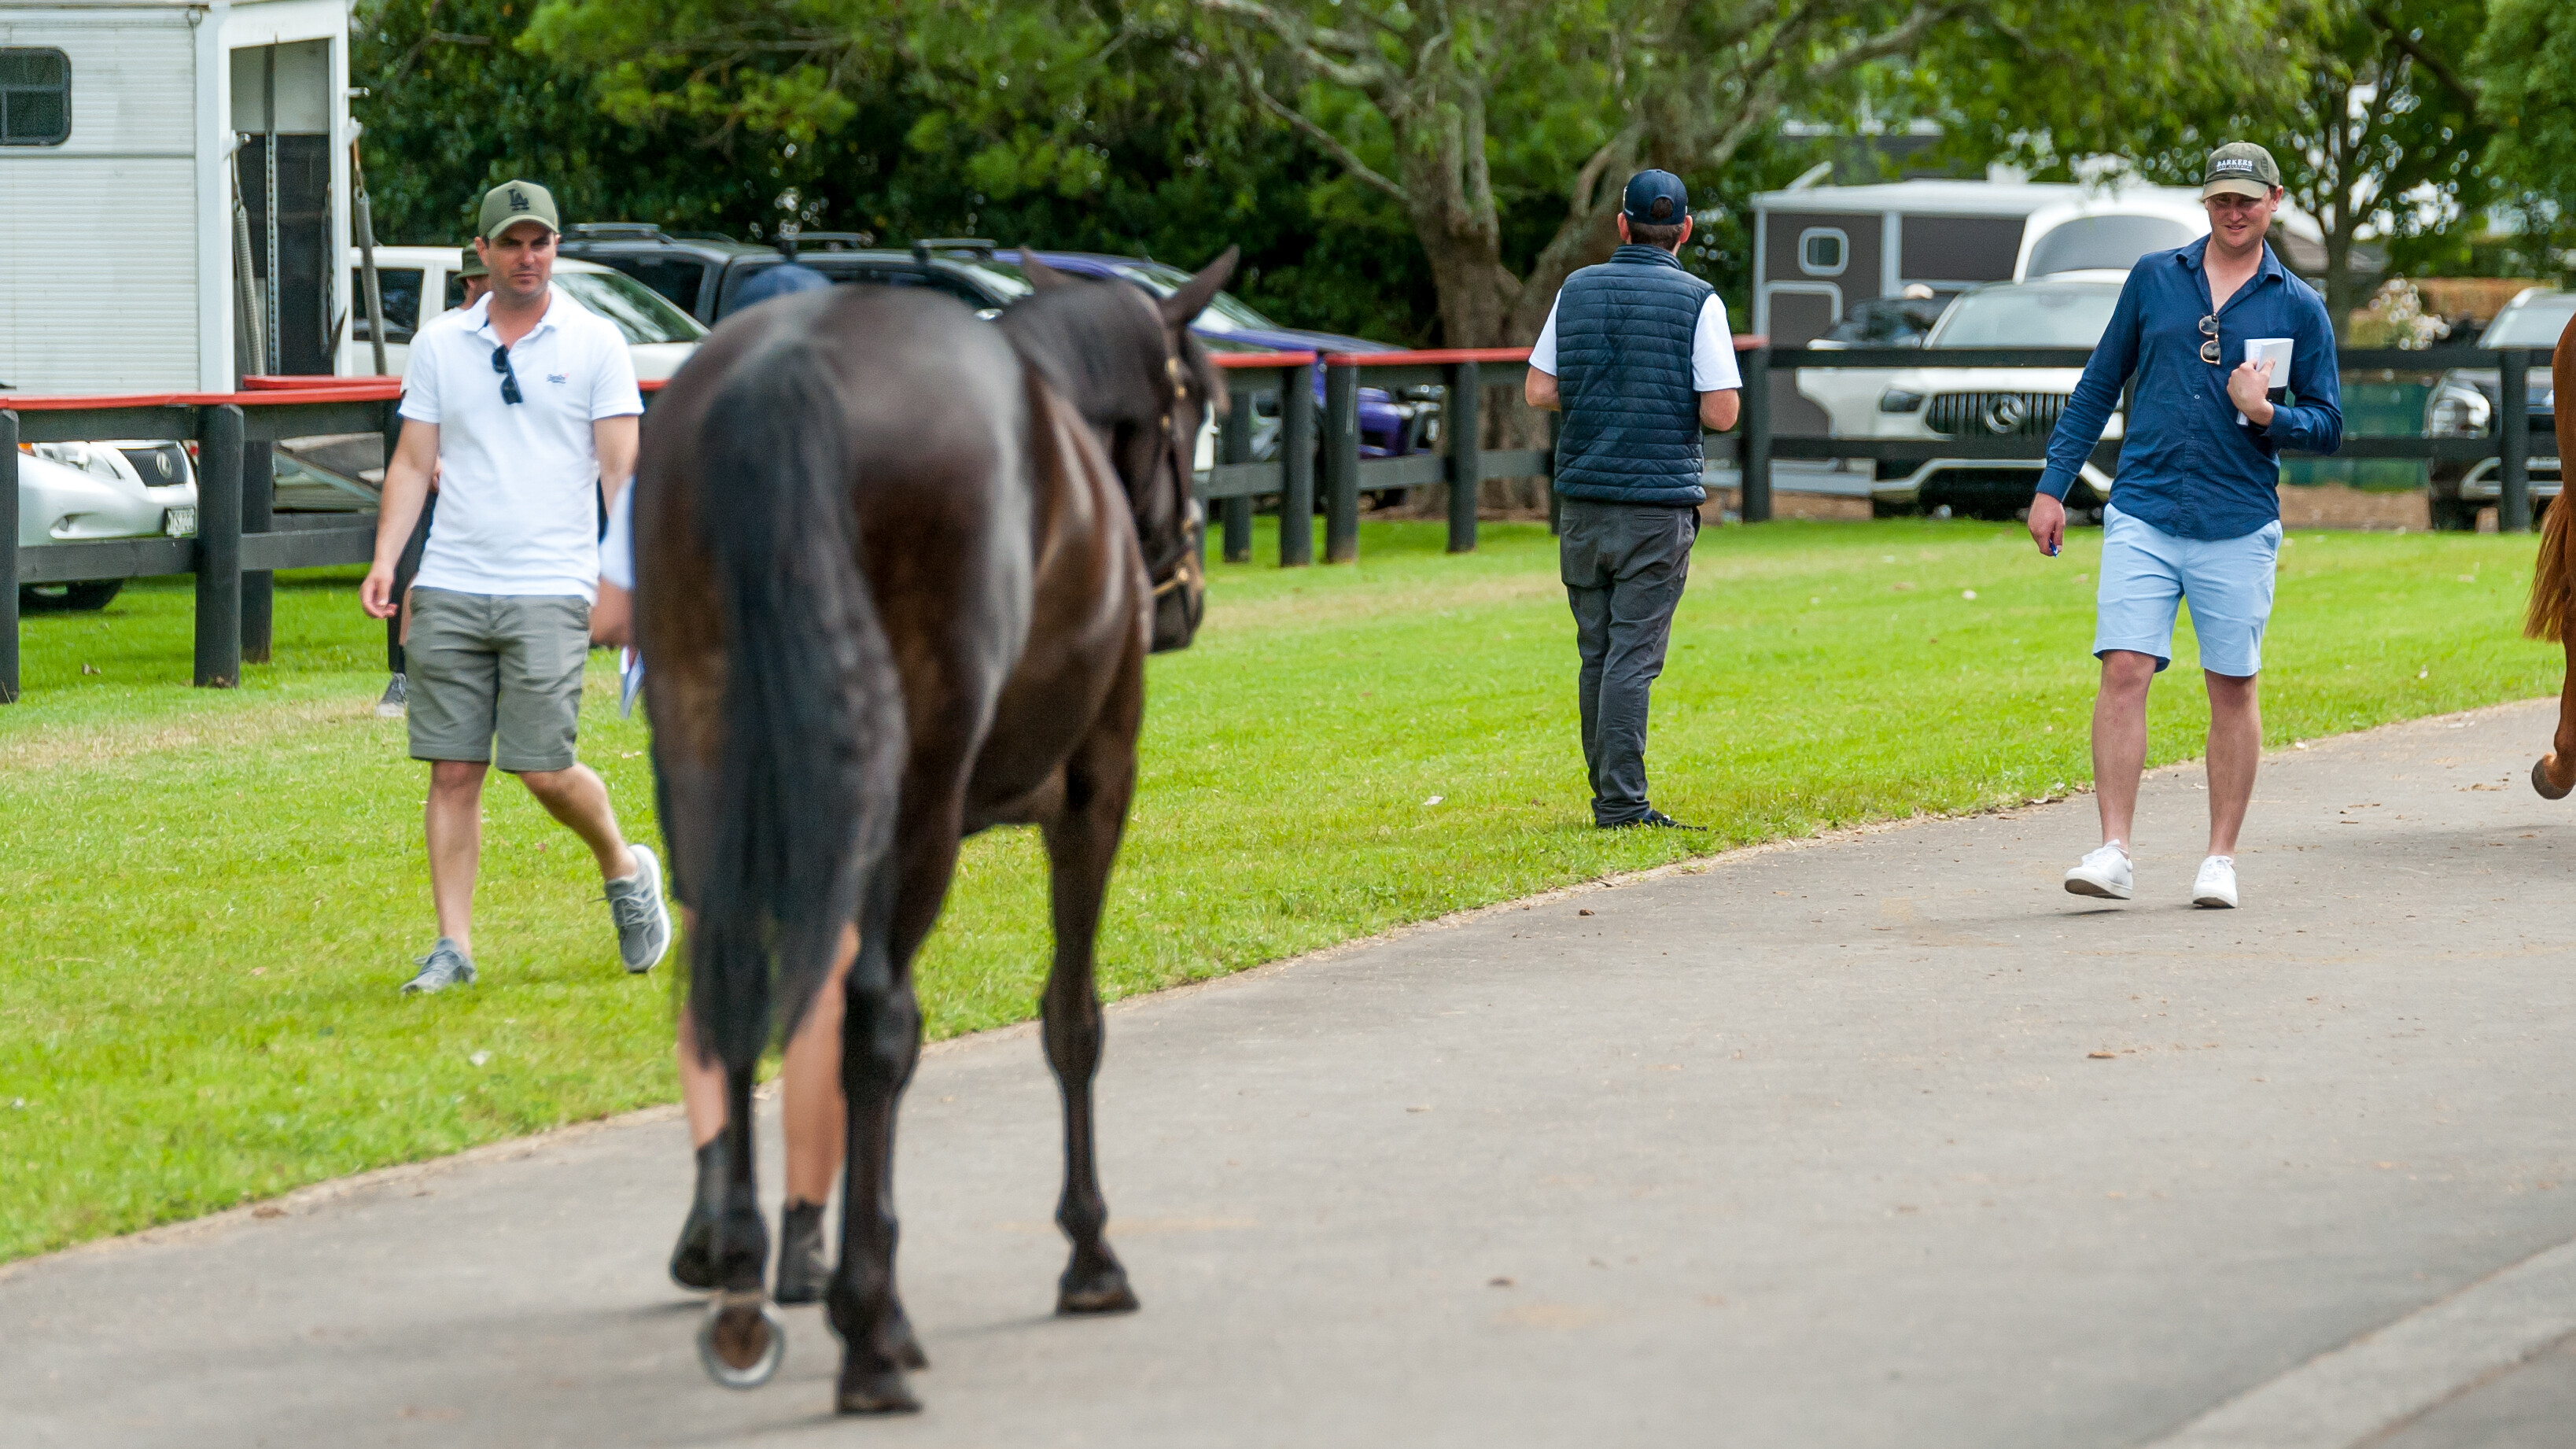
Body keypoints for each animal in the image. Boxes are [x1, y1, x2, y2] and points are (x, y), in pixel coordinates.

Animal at [623, 242, 1225, 1403]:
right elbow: (1071, 1018)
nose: (1180, 601)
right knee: (875, 1020)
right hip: (915, 812)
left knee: (732, 994)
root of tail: (790, 369)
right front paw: (1090, 1253)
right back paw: (873, 1330)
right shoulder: (1095, 789)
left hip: (722, 782)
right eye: (1197, 409)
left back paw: (740, 1286)